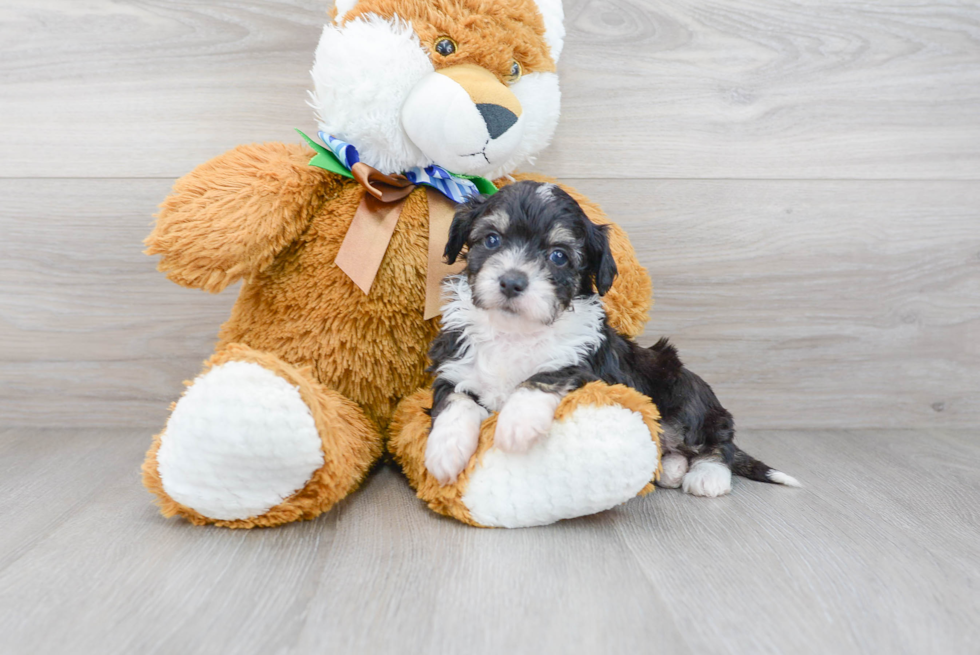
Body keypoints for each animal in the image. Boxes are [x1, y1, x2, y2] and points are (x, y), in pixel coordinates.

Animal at [424, 179, 800, 498]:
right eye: (492, 240)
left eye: (558, 255)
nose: (512, 282)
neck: (514, 331)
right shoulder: (454, 366)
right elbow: (455, 400)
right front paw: (444, 450)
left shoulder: (590, 369)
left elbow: (546, 374)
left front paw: (516, 424)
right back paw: (671, 469)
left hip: (682, 387)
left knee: (716, 441)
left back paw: (707, 475)